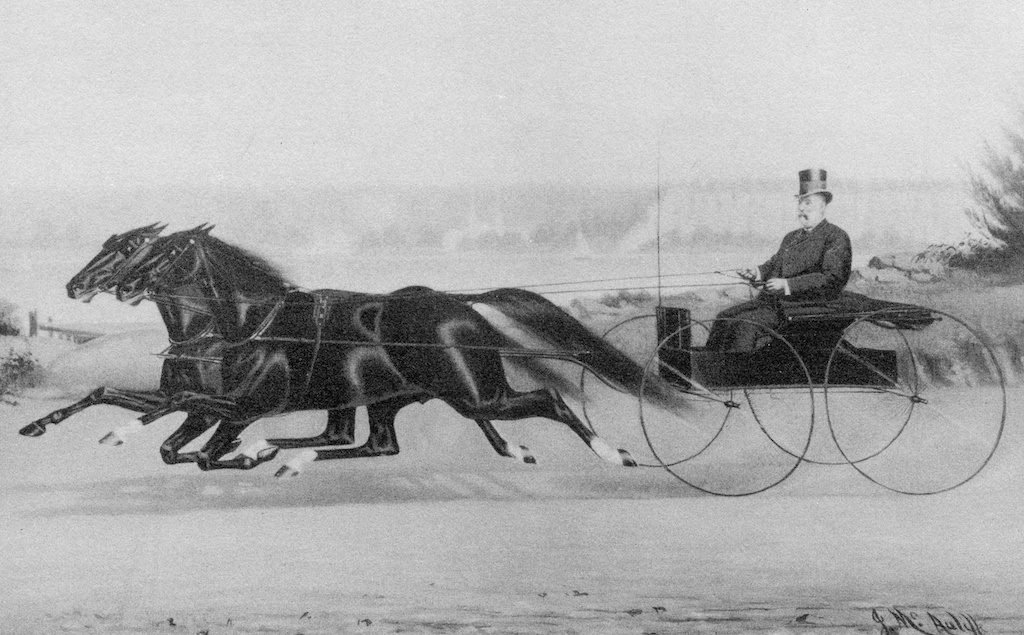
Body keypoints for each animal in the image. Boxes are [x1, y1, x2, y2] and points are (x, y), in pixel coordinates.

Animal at [112, 227, 655, 471]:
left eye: (164, 251)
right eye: (136, 248)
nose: (120, 284)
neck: (247, 325)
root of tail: (459, 303)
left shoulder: (244, 404)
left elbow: (192, 428)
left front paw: (123, 431)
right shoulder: (233, 406)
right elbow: (180, 429)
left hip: (476, 393)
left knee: (550, 399)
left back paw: (612, 453)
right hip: (407, 398)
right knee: (375, 444)